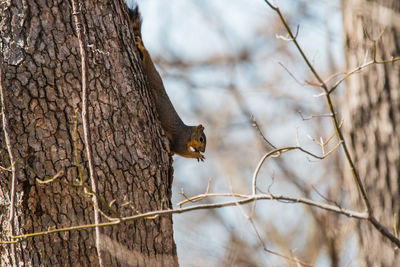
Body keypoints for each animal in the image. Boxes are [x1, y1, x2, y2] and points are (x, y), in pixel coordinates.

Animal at [127, 6, 206, 162]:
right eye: (201, 139)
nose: (204, 150)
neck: (188, 133)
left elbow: (174, 151)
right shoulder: (181, 140)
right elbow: (180, 150)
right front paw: (197, 154)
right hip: (152, 75)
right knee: (147, 58)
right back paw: (141, 47)